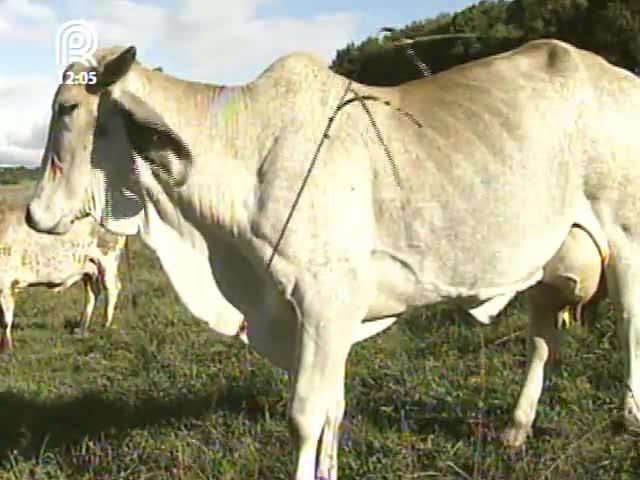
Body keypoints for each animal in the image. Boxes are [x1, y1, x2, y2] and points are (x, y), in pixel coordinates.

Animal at [0, 201, 125, 350]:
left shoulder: (6, 283)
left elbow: (5, 320)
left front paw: (6, 348)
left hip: (108, 260)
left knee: (112, 288)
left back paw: (105, 326)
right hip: (88, 267)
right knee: (92, 293)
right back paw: (81, 328)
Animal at [23, 38, 640, 480]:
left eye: (69, 107)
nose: (32, 213)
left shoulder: (325, 302)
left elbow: (305, 414)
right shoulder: (318, 317)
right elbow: (333, 410)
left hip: (627, 235)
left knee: (630, 322)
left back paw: (629, 416)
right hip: (546, 262)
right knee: (542, 339)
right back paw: (516, 428)